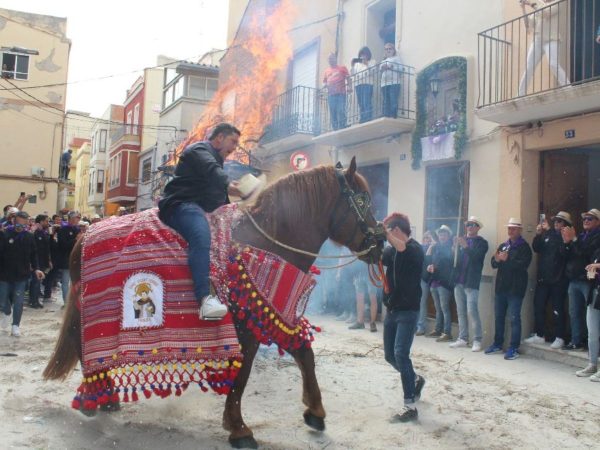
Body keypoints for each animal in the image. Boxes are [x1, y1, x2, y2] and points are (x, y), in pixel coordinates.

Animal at [44, 156, 386, 448]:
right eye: (362, 200)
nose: (380, 243)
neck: (264, 243)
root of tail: (84, 235)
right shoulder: (245, 326)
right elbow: (242, 375)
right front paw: (239, 428)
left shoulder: (270, 311)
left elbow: (304, 353)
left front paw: (315, 411)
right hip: (93, 311)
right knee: (86, 350)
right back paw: (98, 397)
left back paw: (105, 398)